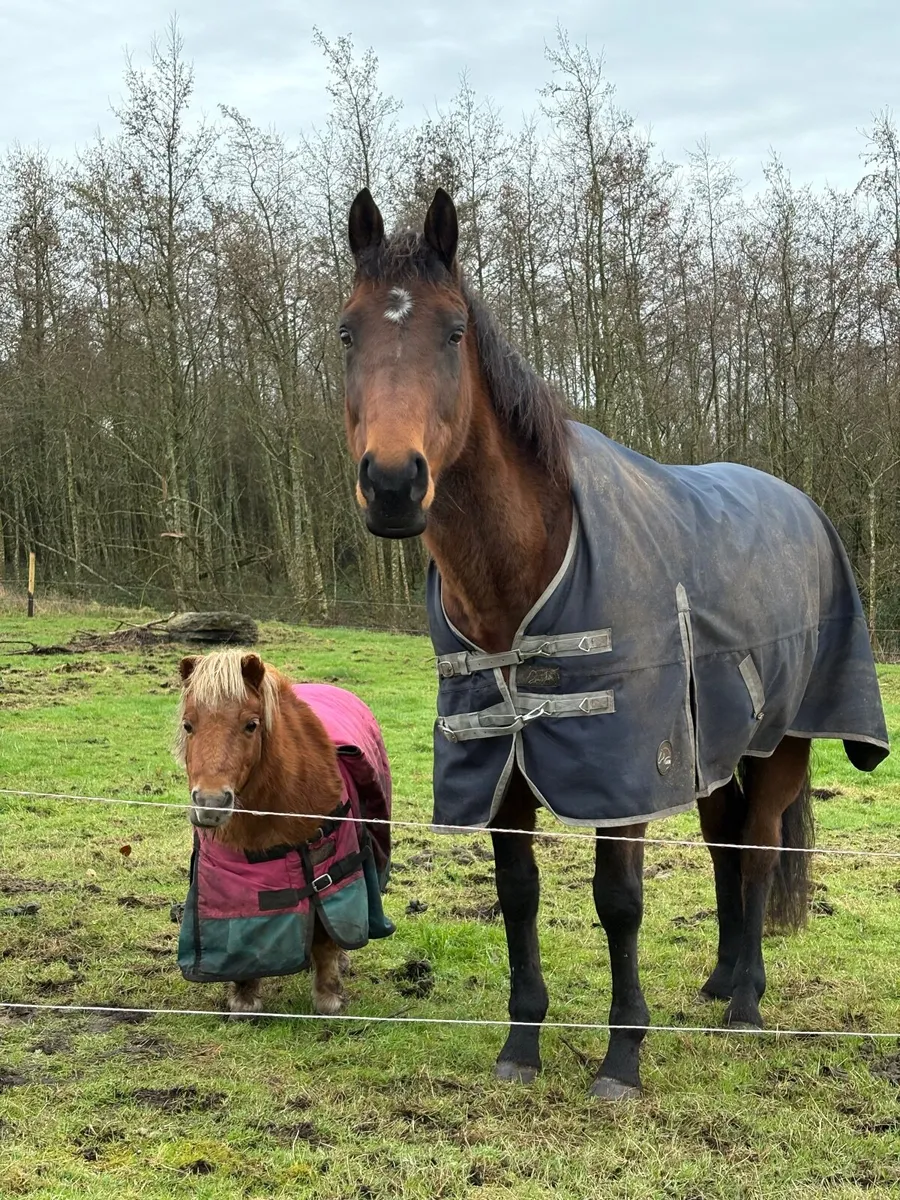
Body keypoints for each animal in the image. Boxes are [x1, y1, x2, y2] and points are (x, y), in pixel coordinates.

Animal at [173, 649, 394, 1018]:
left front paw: (329, 997)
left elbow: (325, 935)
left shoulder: (326, 870)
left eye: (251, 724)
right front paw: (245, 997)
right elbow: (240, 937)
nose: (211, 804)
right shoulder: (237, 885)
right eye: (189, 725)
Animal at [337, 187, 889, 1099]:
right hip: (716, 752)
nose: (391, 484)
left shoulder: (624, 767)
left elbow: (618, 902)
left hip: (784, 742)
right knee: (725, 845)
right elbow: (518, 893)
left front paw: (623, 1055)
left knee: (760, 848)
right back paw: (720, 978)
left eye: (452, 332)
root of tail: (802, 506)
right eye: (348, 332)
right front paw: (522, 1044)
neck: (523, 574)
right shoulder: (504, 763)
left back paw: (748, 1002)